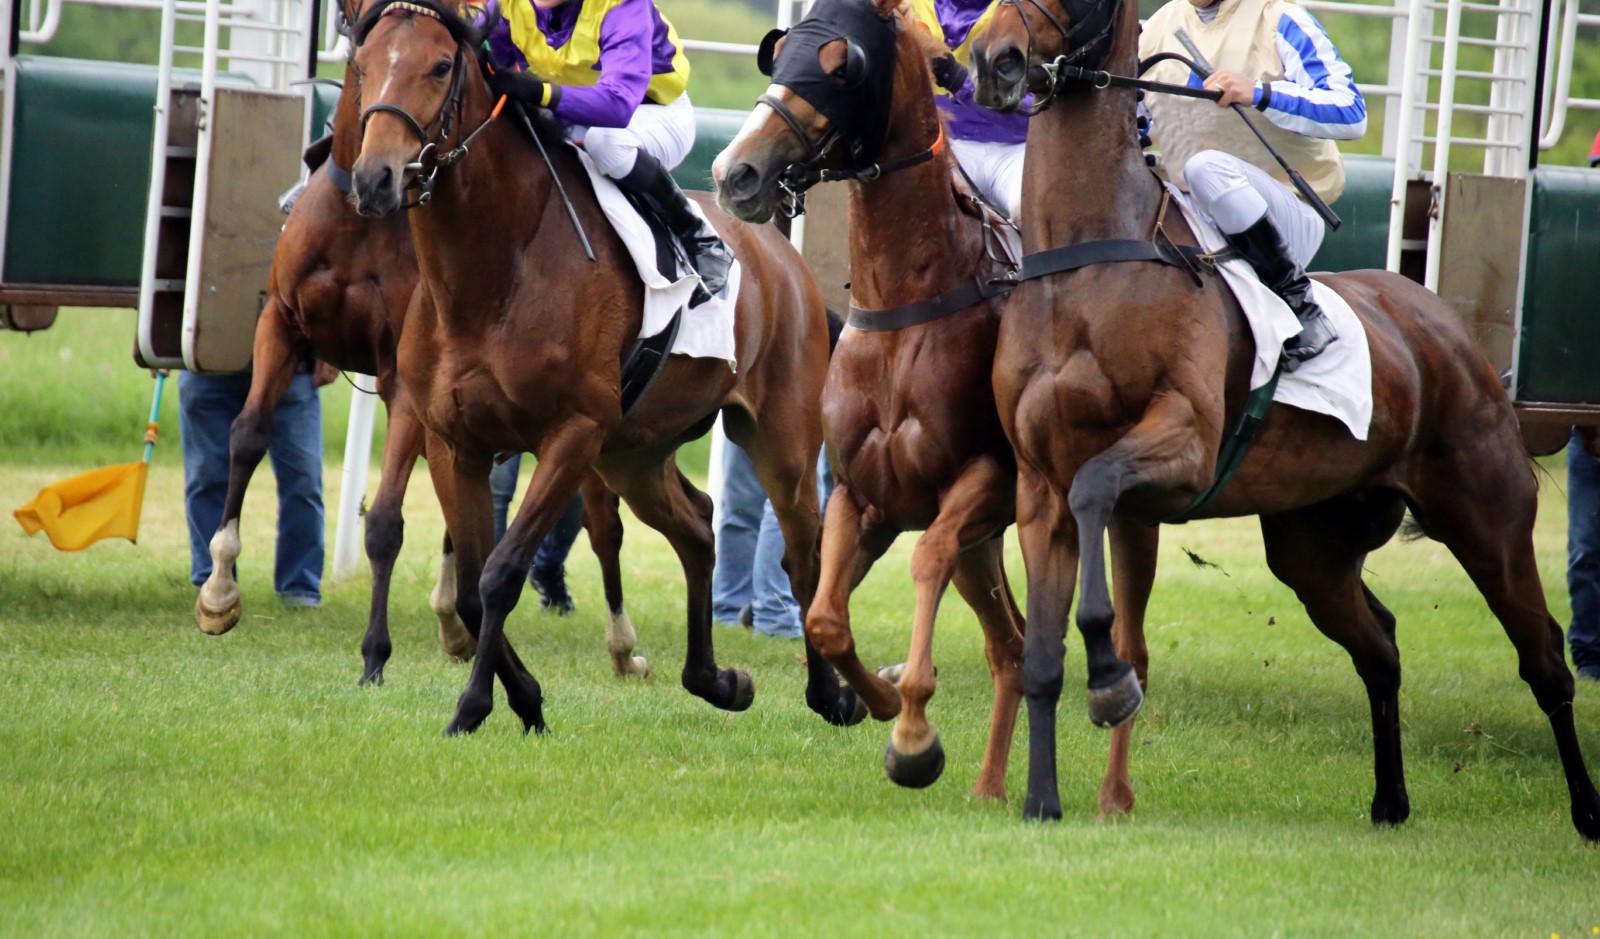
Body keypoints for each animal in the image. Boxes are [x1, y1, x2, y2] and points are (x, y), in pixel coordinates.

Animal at [196, 51, 646, 691]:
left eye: (438, 67)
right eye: (360, 61)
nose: (376, 178)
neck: (359, 224)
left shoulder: (404, 382)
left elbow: (386, 519)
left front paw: (376, 653)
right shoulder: (282, 322)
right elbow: (248, 433)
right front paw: (219, 590)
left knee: (603, 524)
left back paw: (619, 643)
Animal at [342, 0, 857, 735]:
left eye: (440, 66)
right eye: (361, 64)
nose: (374, 178)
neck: (491, 274)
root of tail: (783, 259)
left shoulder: (572, 434)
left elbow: (500, 573)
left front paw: (474, 706)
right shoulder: (453, 441)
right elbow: (469, 586)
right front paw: (523, 697)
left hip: (777, 435)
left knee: (802, 549)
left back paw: (832, 694)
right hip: (635, 453)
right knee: (696, 526)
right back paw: (715, 679)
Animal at [713, 0, 1164, 809]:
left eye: (841, 65)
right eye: (778, 52)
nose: (739, 171)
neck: (910, 302)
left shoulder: (980, 481)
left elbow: (925, 558)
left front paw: (914, 732)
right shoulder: (858, 494)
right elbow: (826, 616)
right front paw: (878, 698)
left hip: (1104, 516)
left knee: (1117, 644)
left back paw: (1112, 789)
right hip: (987, 545)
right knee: (1010, 646)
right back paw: (989, 785)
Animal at [960, 0, 1600, 838]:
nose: (992, 61)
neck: (1092, 261)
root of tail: (1449, 329)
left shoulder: (1181, 448)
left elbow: (1097, 496)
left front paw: (1110, 679)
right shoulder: (1037, 487)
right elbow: (1038, 655)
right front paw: (1040, 798)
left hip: (1485, 517)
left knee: (1543, 656)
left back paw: (1586, 809)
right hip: (1314, 547)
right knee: (1380, 646)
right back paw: (1390, 800)